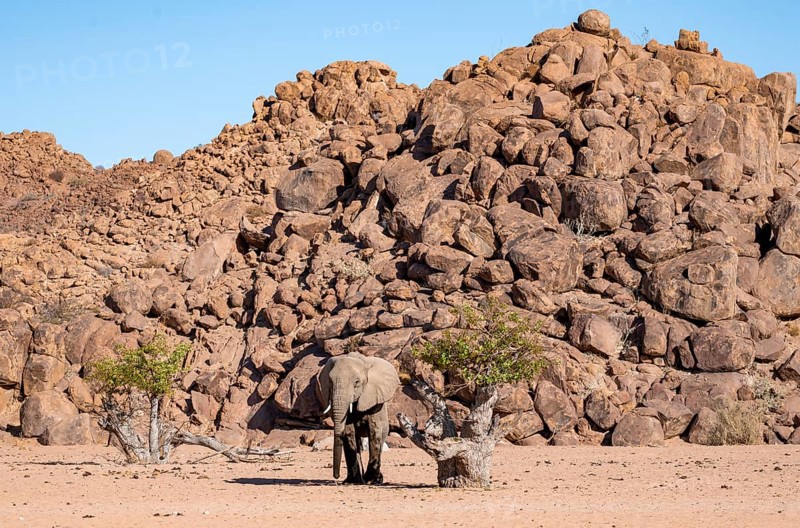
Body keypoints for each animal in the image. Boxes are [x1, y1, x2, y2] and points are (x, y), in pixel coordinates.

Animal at [316, 352, 400, 484]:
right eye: (330, 381)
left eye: (357, 382)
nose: (336, 476)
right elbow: (348, 431)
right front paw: (352, 481)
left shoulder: (374, 398)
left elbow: (374, 431)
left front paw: (370, 480)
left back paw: (376, 479)